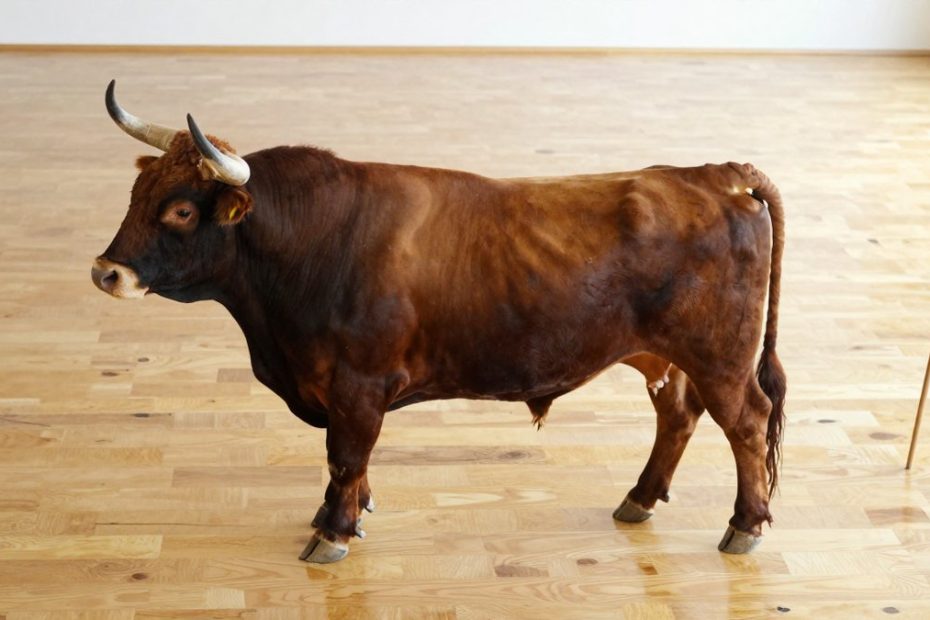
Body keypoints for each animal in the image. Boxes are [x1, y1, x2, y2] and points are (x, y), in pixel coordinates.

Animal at [92, 80, 786, 563]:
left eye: (181, 210)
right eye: (136, 195)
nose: (106, 273)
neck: (313, 242)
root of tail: (715, 176)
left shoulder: (358, 387)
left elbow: (345, 456)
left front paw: (333, 531)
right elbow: (350, 463)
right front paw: (348, 515)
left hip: (721, 358)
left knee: (745, 423)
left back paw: (744, 525)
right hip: (664, 354)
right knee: (678, 415)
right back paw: (639, 500)